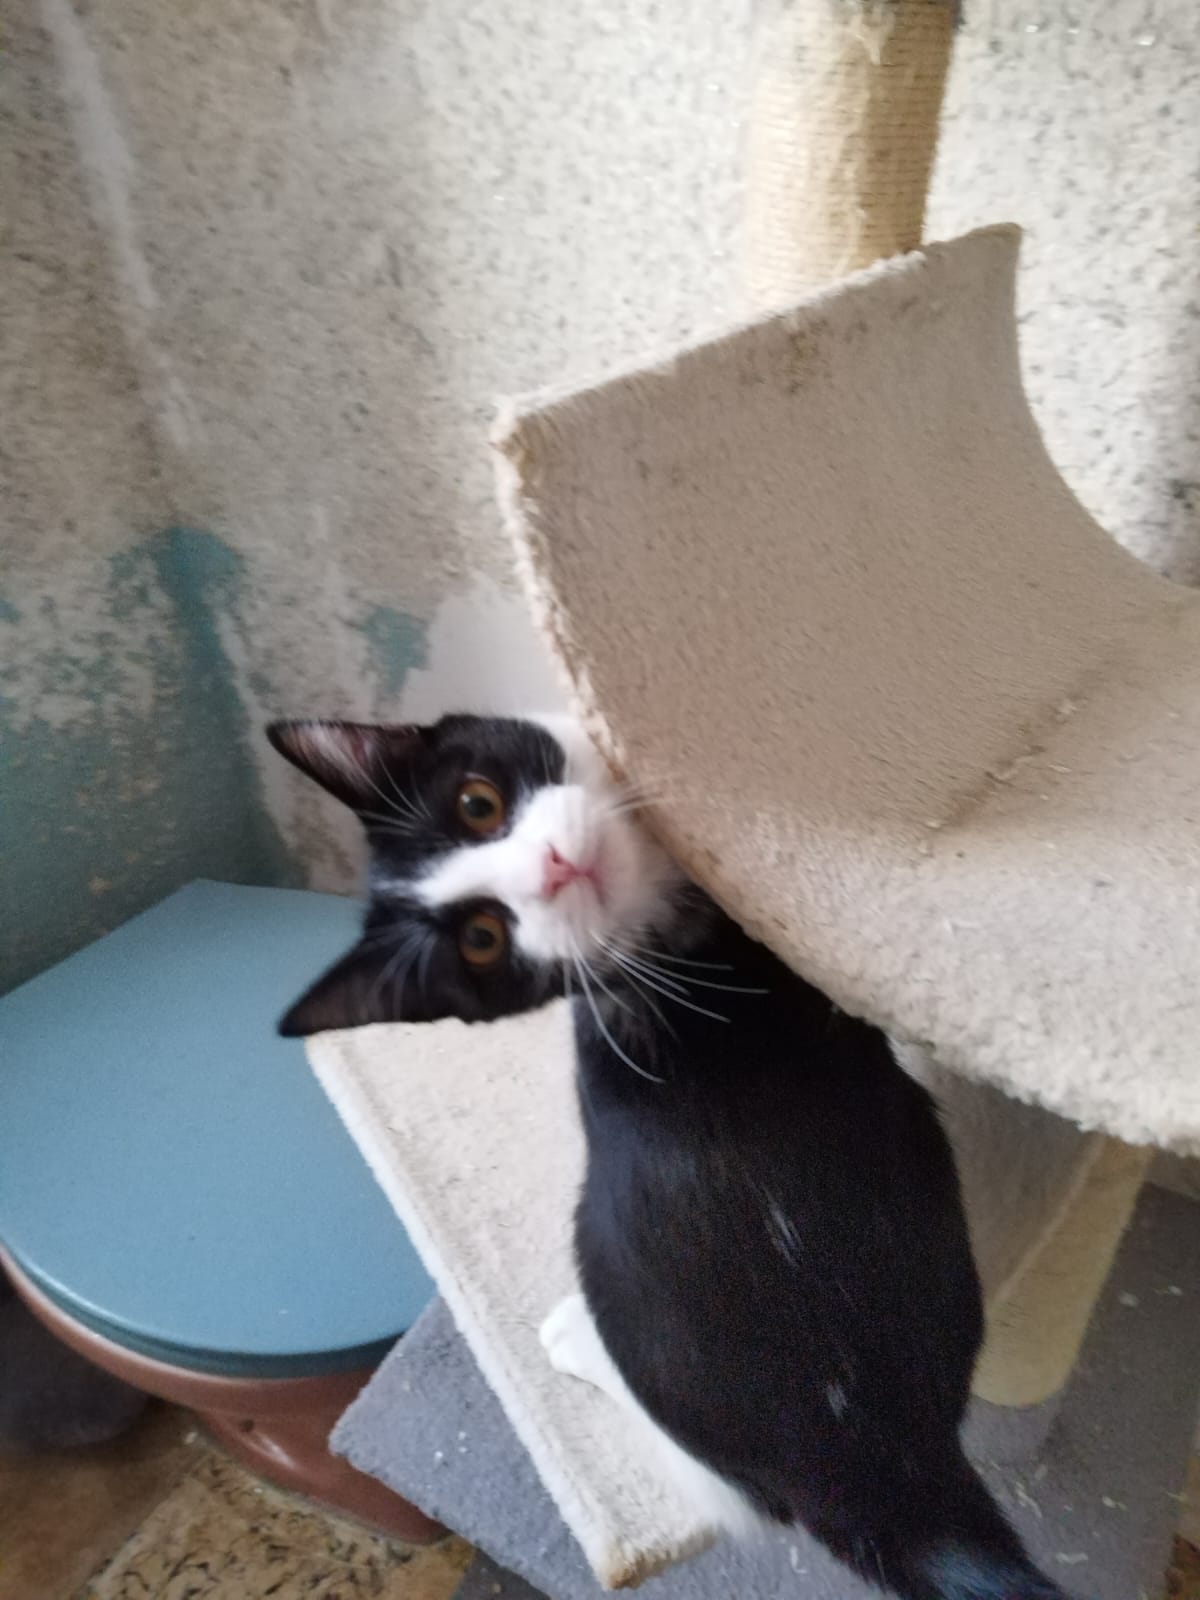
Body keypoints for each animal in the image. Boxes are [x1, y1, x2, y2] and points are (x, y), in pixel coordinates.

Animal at [268, 712, 1069, 1600]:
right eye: (483, 940)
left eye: (479, 804)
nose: (553, 870)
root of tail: (883, 1468)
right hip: (613, 1247)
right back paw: (572, 1337)